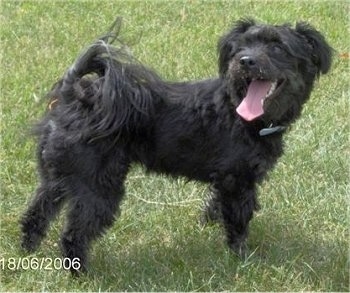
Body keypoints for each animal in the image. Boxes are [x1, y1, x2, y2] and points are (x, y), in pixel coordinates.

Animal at [20, 19, 332, 272]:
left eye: (278, 47)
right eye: (240, 48)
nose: (245, 61)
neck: (242, 114)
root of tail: (72, 95)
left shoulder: (225, 180)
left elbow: (215, 206)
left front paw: (208, 226)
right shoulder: (238, 182)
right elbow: (238, 222)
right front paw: (243, 259)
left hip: (57, 176)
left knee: (35, 215)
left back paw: (27, 254)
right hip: (98, 185)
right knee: (74, 234)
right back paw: (82, 274)